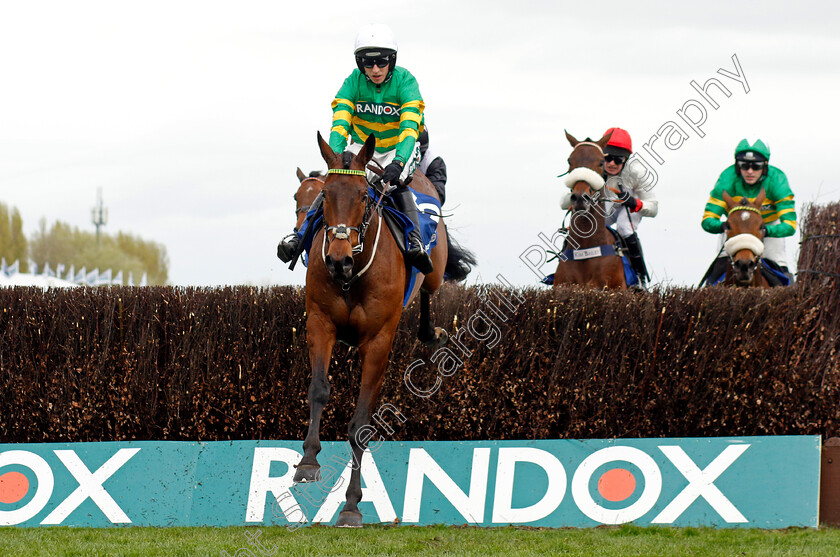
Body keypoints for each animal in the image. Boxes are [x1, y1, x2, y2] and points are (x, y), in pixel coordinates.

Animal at [294, 130, 472, 524]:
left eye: (364, 196)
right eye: (324, 197)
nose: (338, 259)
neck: (353, 275)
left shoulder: (378, 341)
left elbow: (361, 424)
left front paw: (351, 506)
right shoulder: (320, 323)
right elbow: (318, 390)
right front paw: (308, 462)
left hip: (433, 269)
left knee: (430, 288)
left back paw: (431, 332)